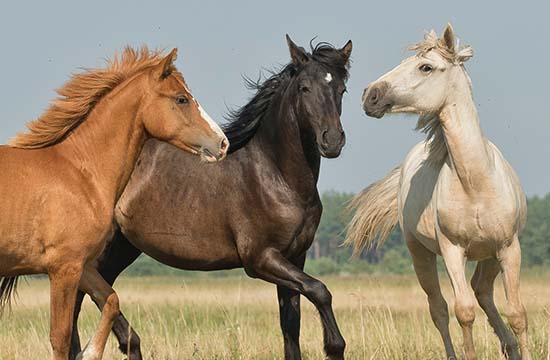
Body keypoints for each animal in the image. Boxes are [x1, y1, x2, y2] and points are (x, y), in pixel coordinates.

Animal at [0, 47, 229, 360]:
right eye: (181, 99)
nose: (222, 143)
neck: (80, 172)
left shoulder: (83, 265)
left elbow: (111, 301)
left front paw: (89, 353)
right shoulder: (63, 267)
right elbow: (60, 337)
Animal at [71, 35, 354, 360]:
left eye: (341, 89)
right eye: (304, 88)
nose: (331, 141)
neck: (277, 177)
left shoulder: (296, 256)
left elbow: (290, 327)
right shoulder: (261, 258)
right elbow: (320, 291)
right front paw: (334, 346)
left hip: (122, 247)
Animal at [348, 23, 532, 358]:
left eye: (426, 66)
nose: (370, 95)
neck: (476, 184)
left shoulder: (509, 247)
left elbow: (517, 313)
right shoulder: (452, 250)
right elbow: (464, 312)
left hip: (489, 255)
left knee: (483, 291)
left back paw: (509, 346)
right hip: (420, 253)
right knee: (440, 309)